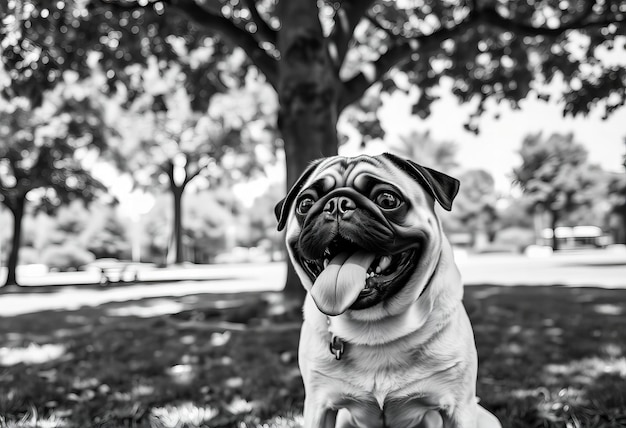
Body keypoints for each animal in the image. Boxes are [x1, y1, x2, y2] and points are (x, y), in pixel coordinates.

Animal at [276, 154, 500, 428]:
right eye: (305, 204)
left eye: (387, 200)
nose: (337, 203)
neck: (375, 328)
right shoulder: (318, 406)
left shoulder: (459, 408)